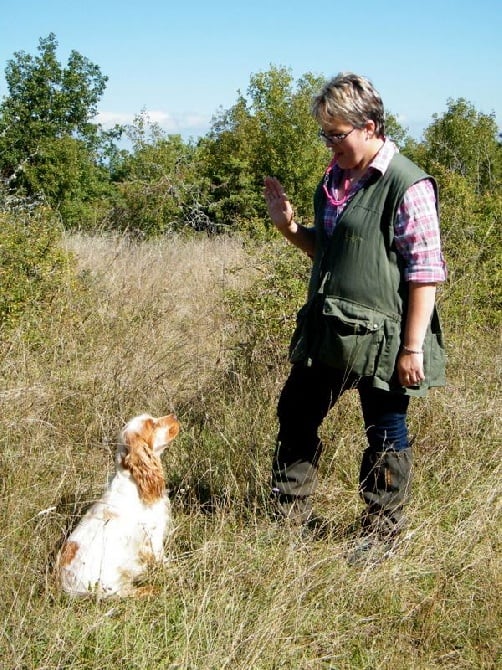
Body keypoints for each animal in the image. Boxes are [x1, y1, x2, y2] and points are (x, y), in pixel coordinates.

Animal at [56, 414, 179, 600]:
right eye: (152, 424)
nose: (174, 416)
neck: (133, 481)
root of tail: (65, 586)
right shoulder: (153, 535)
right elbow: (162, 559)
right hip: (112, 586)